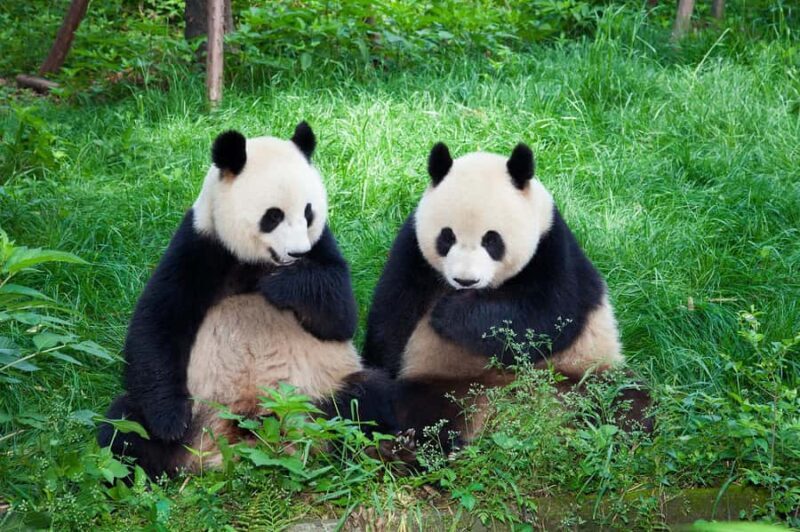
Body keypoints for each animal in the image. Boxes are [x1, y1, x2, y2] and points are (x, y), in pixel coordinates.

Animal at [97, 122, 396, 478]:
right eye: (273, 216)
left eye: (309, 213)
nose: (297, 253)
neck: (256, 262)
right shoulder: (200, 245)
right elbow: (157, 324)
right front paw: (170, 421)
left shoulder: (322, 245)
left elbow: (340, 315)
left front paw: (283, 285)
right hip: (199, 415)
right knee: (124, 426)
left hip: (320, 394)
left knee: (369, 398)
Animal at [364, 141, 649, 453]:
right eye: (447, 237)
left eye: (492, 240)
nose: (465, 280)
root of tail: (511, 408)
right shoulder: (412, 250)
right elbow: (392, 315)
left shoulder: (552, 247)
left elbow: (545, 317)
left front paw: (449, 312)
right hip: (445, 380)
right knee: (423, 408)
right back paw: (416, 444)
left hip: (582, 372)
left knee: (625, 398)